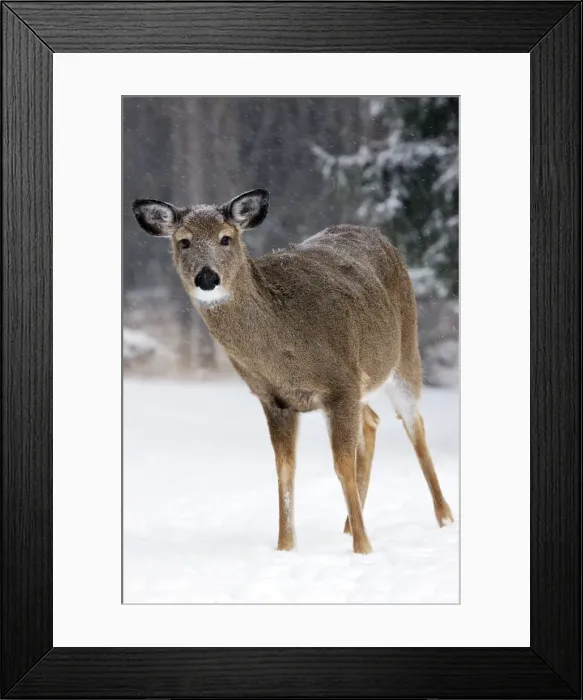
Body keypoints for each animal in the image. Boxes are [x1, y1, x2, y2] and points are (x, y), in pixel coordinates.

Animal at [132, 189, 454, 554]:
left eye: (226, 238)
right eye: (184, 241)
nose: (207, 278)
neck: (285, 349)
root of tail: (377, 234)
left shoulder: (340, 381)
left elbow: (341, 465)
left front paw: (363, 548)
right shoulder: (274, 399)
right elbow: (284, 470)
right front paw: (286, 546)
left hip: (405, 351)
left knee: (414, 425)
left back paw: (443, 517)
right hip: (362, 383)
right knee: (372, 420)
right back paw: (347, 524)